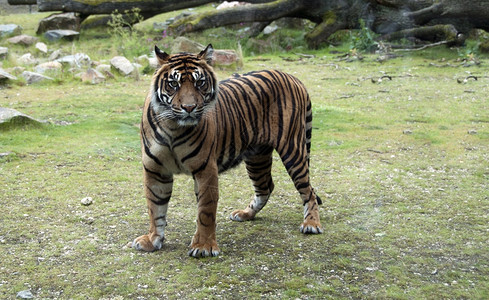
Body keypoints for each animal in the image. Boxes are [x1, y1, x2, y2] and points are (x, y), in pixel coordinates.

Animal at [132, 44, 324, 258]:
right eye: (174, 84)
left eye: (200, 83)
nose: (189, 107)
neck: (173, 126)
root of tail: (292, 77)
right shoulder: (155, 170)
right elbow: (155, 207)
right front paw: (152, 239)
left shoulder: (205, 169)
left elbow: (205, 211)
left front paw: (204, 246)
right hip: (257, 157)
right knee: (266, 186)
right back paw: (246, 214)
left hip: (293, 149)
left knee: (308, 189)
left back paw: (311, 223)